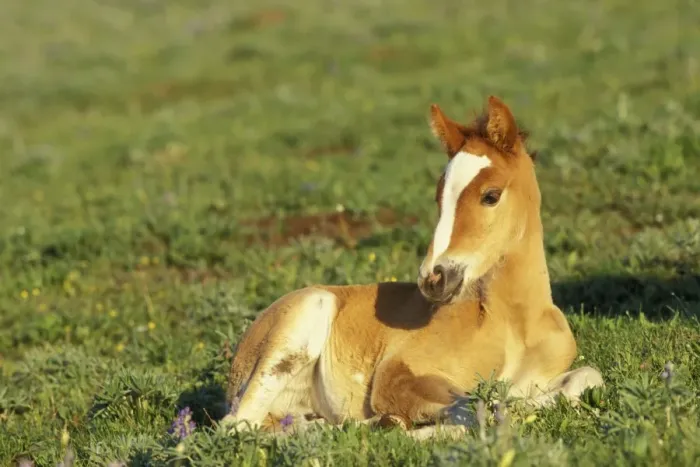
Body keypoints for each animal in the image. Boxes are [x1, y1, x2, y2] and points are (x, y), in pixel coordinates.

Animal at [220, 96, 604, 438]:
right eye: (439, 197)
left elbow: (582, 380)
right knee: (236, 424)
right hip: (304, 320)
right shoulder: (397, 374)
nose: (434, 278)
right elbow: (475, 409)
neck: (514, 326)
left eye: (491, 195)